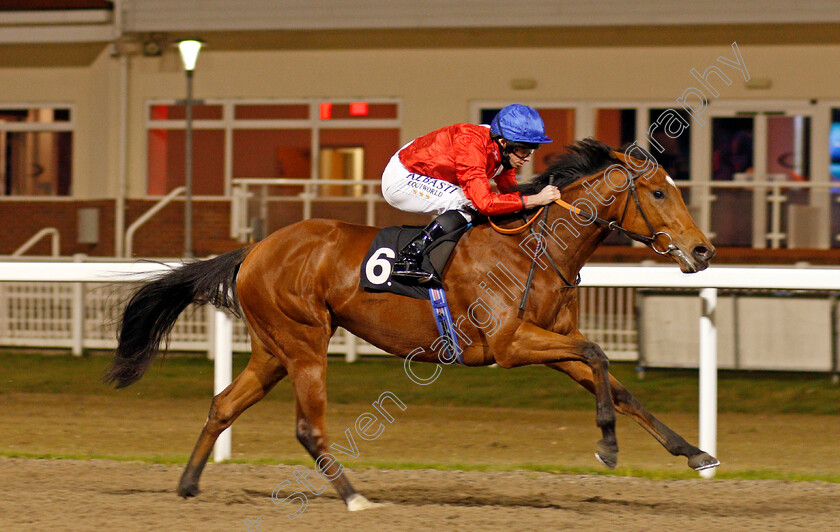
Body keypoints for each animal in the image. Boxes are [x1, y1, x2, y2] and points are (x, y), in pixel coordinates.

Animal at [105, 139, 720, 510]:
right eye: (658, 191)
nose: (703, 250)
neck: (536, 248)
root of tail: (255, 248)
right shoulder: (510, 343)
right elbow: (599, 355)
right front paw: (608, 447)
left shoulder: (553, 340)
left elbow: (615, 383)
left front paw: (693, 452)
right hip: (303, 344)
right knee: (307, 426)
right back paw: (354, 497)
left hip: (273, 349)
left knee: (224, 405)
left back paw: (188, 484)